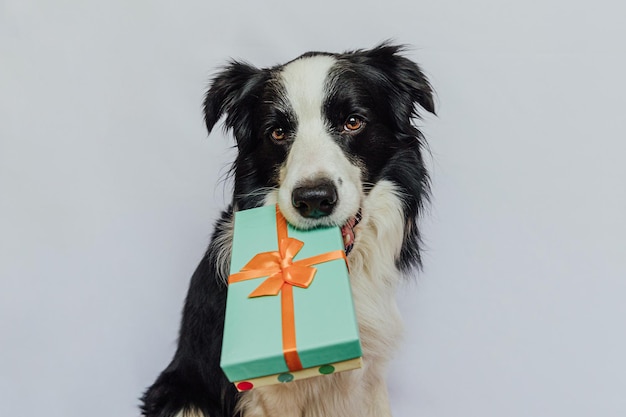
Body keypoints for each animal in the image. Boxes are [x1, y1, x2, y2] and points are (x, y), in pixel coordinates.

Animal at [140, 43, 434, 416]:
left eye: (353, 122)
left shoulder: (371, 376)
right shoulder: (267, 394)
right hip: (181, 398)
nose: (314, 199)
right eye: (277, 132)